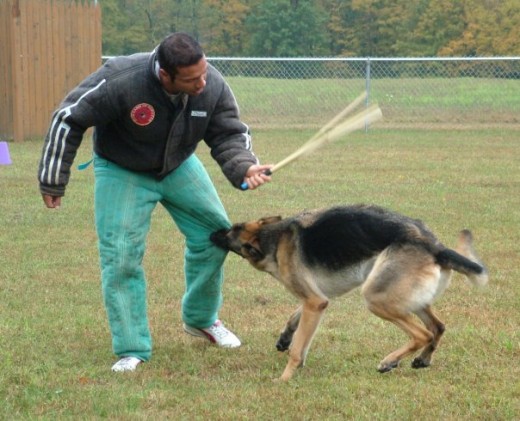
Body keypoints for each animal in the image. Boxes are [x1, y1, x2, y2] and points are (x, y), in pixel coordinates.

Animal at [210, 204, 488, 380]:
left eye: (229, 232)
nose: (212, 232)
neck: (273, 238)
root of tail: (434, 245)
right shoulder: (317, 300)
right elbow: (297, 322)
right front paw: (286, 339)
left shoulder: (314, 301)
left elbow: (298, 349)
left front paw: (285, 378)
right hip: (406, 298)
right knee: (438, 327)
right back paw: (422, 359)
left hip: (377, 299)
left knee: (423, 333)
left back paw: (389, 361)